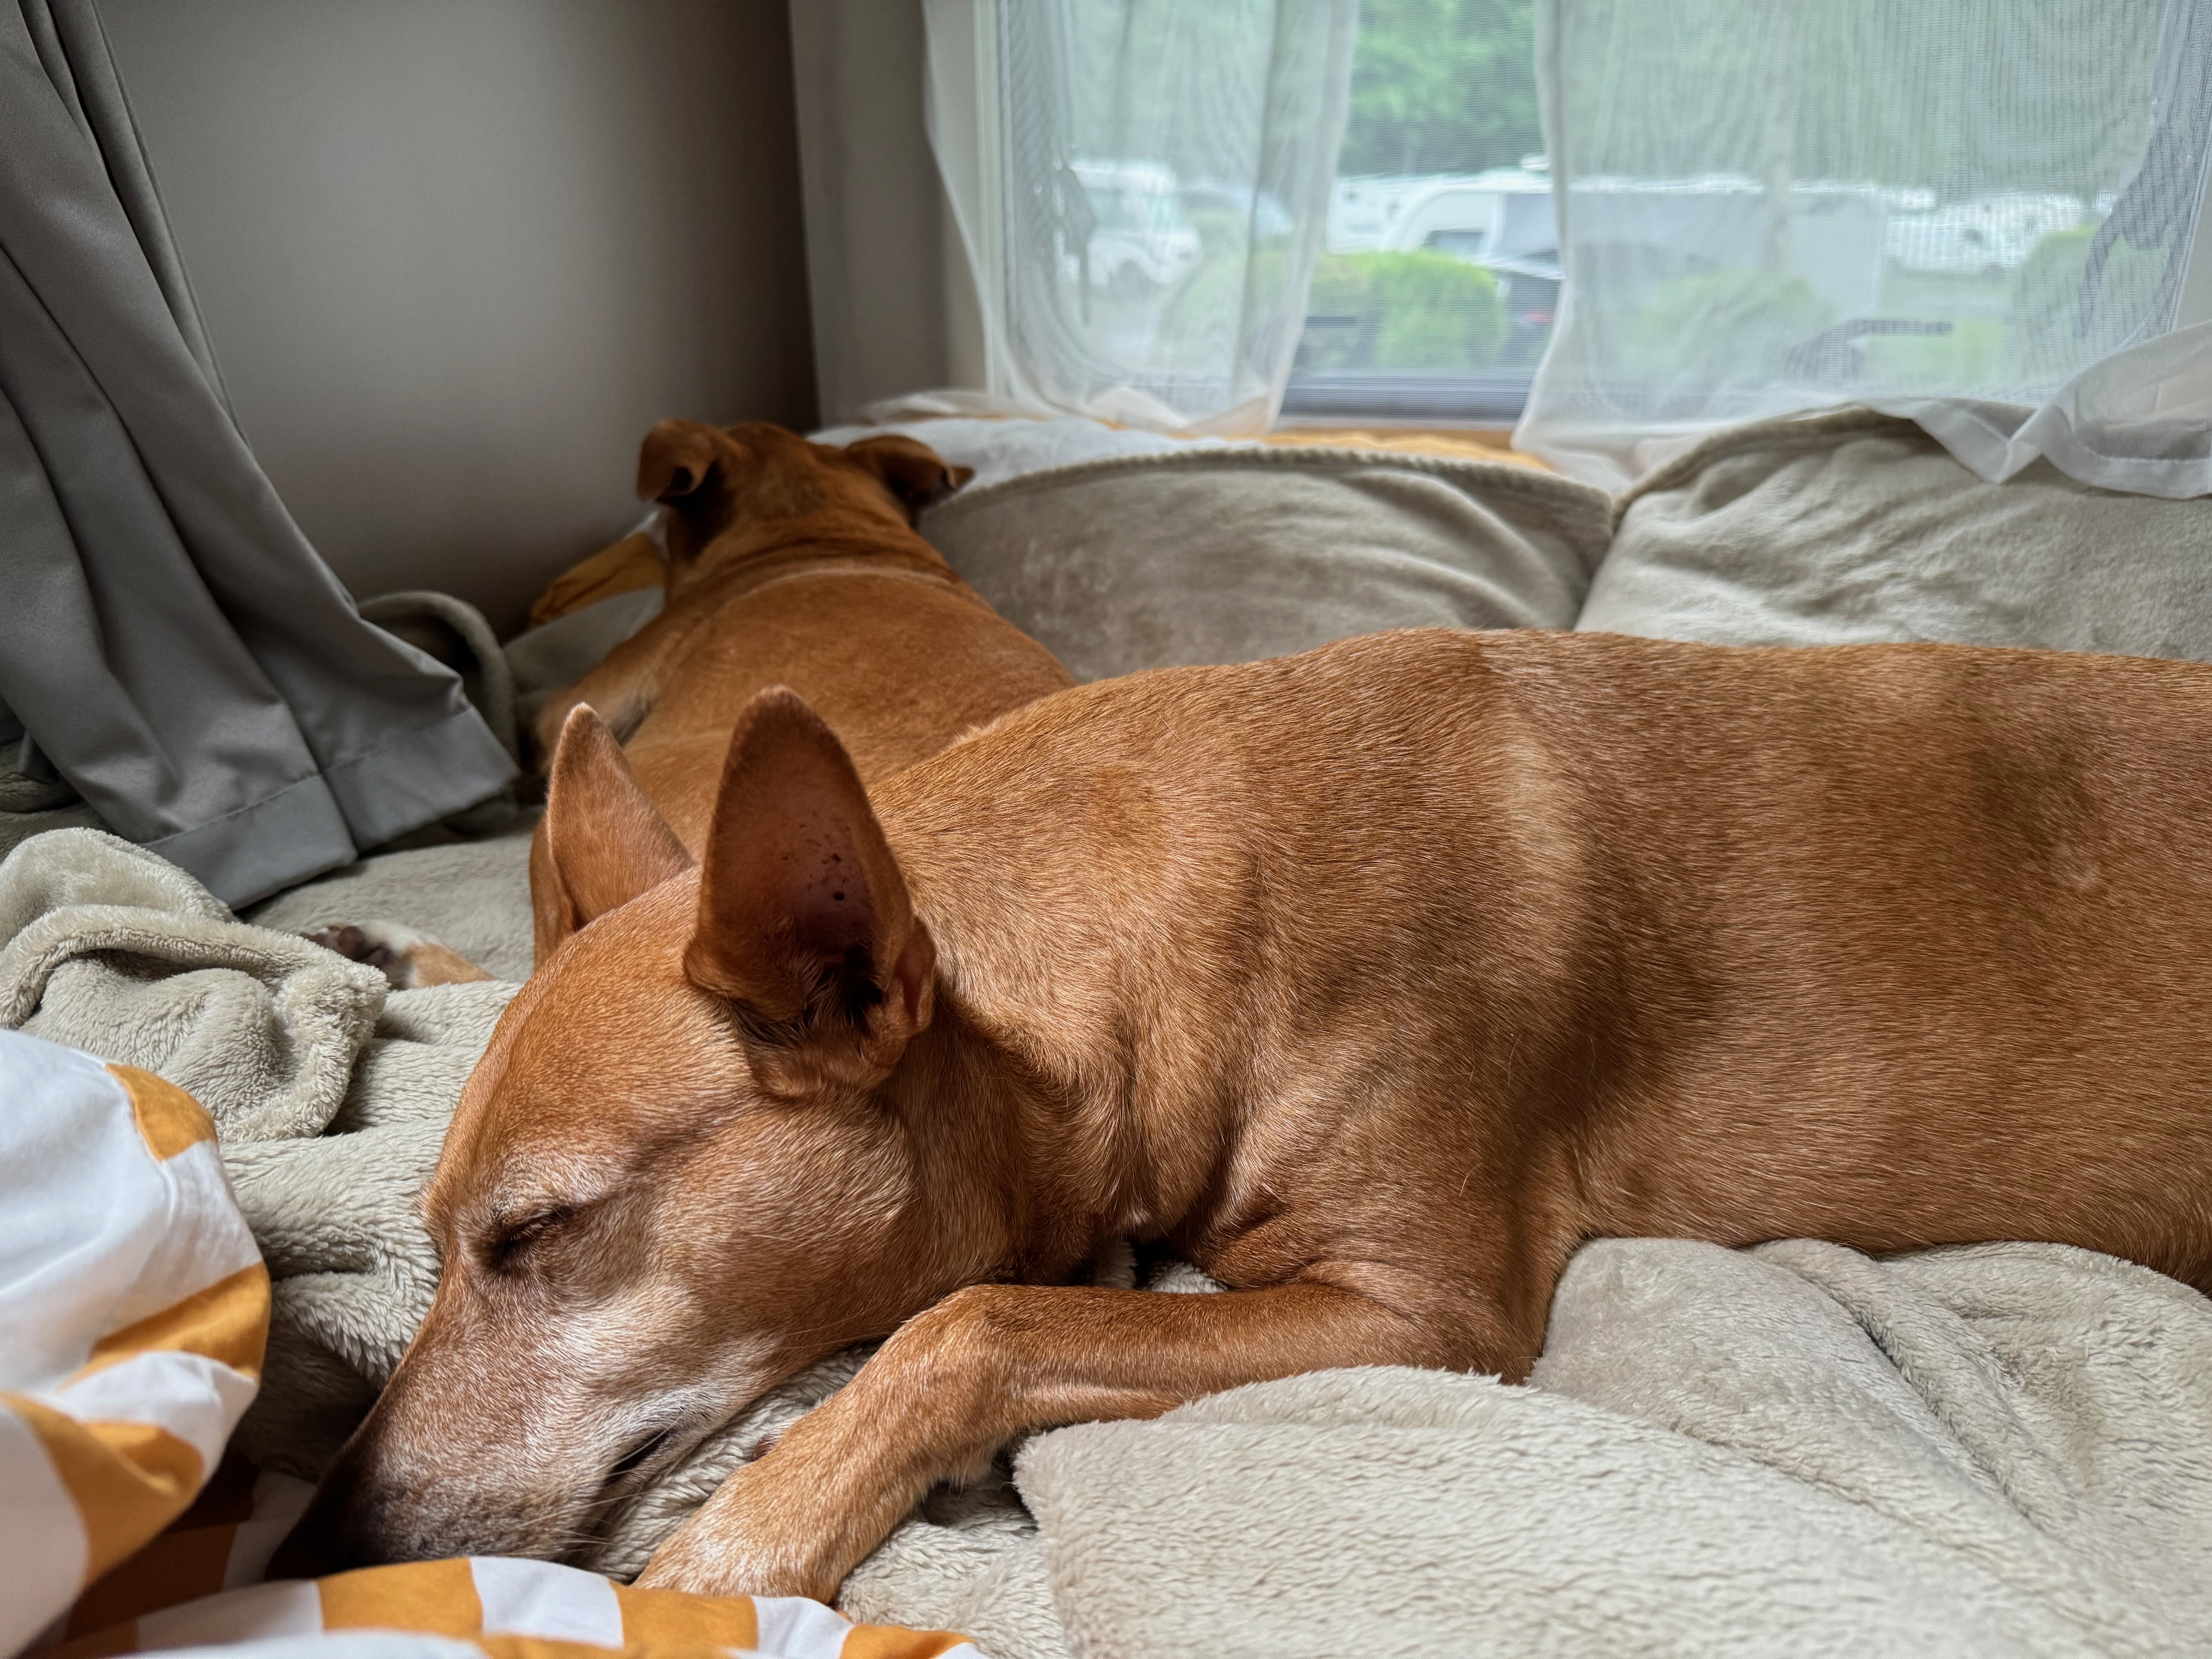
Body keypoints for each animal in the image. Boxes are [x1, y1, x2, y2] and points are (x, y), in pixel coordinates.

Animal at [275, 627, 2212, 1601]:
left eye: (539, 1235)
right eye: (436, 1232)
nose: (314, 1546)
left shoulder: (1427, 1307)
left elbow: (973, 1317)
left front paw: (753, 1536)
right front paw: (387, 945)